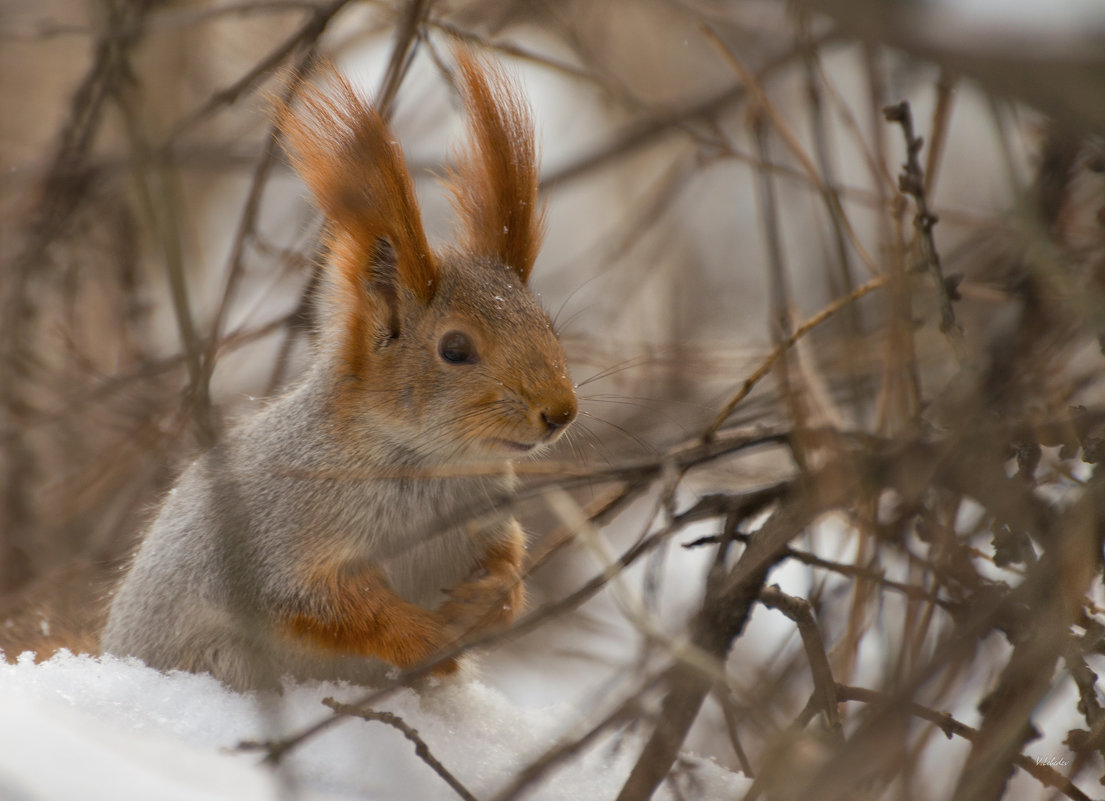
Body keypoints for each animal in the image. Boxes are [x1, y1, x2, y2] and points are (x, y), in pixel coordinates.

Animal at [100, 48, 579, 689]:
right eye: (455, 349)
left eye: (547, 324)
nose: (561, 411)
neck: (434, 468)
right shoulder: (276, 543)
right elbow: (325, 604)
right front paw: (427, 637)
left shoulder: (488, 521)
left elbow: (506, 565)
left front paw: (490, 598)